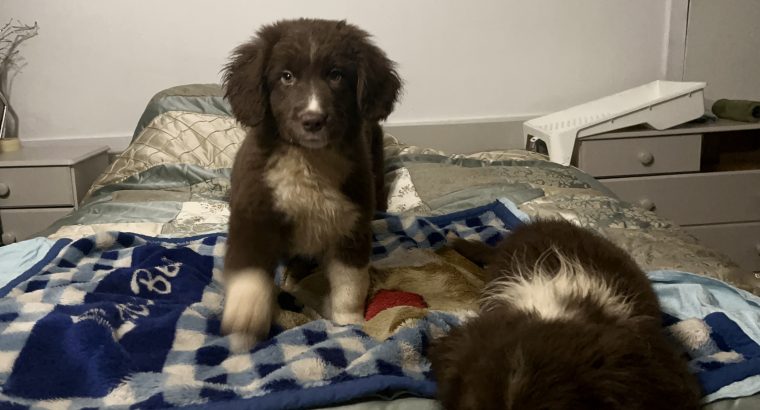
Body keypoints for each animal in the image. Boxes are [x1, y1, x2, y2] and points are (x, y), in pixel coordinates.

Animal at [223, 18, 400, 350]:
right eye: (286, 77)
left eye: (336, 75)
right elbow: (249, 270)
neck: (309, 161)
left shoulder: (352, 223)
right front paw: (245, 317)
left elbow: (351, 281)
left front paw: (349, 323)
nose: (313, 120)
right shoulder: (252, 214)